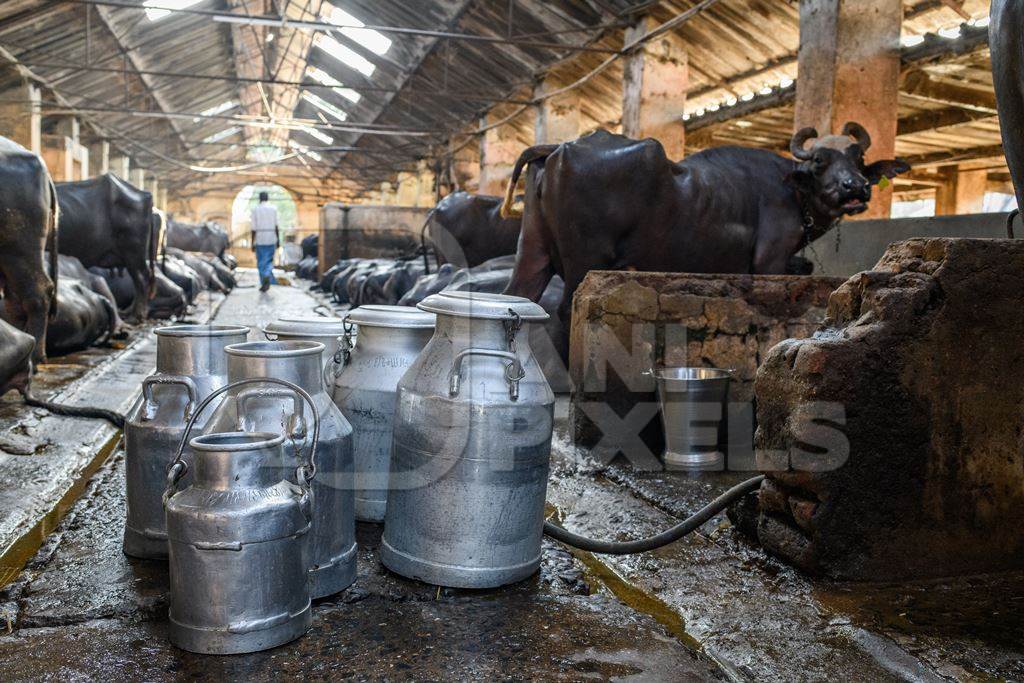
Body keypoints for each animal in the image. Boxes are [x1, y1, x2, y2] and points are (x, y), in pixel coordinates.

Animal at [499, 126, 909, 358]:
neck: (793, 191)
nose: (855, 188)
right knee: (566, 311)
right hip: (585, 259)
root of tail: (558, 146)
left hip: (532, 250)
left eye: (859, 158)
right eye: (821, 161)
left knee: (518, 295)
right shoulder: (770, 262)